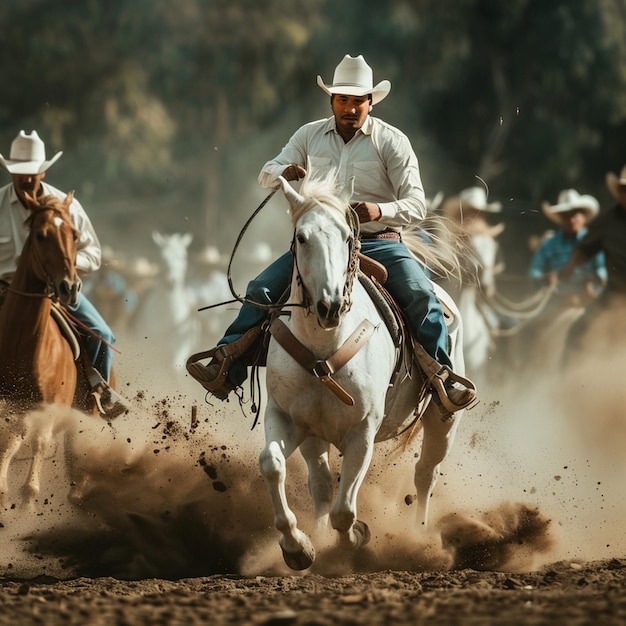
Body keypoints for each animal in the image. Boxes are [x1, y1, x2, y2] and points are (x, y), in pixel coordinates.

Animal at [0, 191, 95, 508]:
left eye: (75, 234)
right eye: (40, 235)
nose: (70, 287)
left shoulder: (47, 408)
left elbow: (34, 445)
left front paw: (26, 497)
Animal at [255, 176, 468, 572]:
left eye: (346, 237)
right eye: (302, 237)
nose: (330, 306)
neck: (323, 347)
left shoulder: (362, 432)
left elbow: (345, 511)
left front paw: (355, 536)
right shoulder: (290, 419)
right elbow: (273, 465)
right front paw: (299, 546)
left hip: (443, 419)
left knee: (425, 474)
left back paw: (419, 537)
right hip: (315, 435)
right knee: (321, 483)